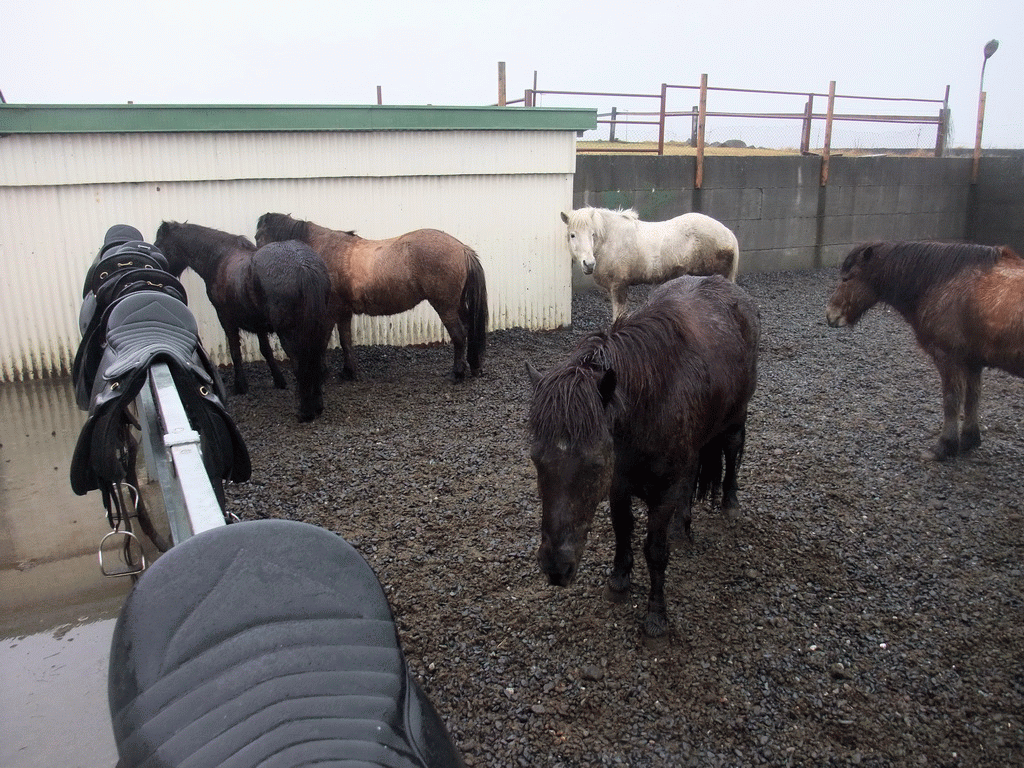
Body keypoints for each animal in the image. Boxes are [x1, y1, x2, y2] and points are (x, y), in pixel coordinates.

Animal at [155, 219, 331, 423]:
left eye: (158, 245)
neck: (220, 257)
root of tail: (303, 266)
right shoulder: (259, 323)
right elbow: (266, 351)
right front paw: (279, 380)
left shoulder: (226, 319)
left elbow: (235, 352)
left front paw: (240, 385)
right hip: (318, 330)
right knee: (316, 362)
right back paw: (317, 405)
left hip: (291, 334)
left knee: (301, 365)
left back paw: (305, 411)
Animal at [254, 211, 487, 382]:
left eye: (257, 236)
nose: (254, 270)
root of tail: (462, 249)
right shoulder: (343, 312)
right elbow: (345, 340)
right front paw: (349, 372)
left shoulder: (329, 313)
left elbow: (324, 341)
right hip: (456, 305)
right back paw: (473, 366)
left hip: (445, 306)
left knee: (459, 335)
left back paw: (458, 373)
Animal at [528, 276, 761, 638]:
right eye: (536, 459)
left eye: (594, 463)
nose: (556, 568)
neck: (651, 403)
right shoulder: (618, 485)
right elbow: (623, 529)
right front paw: (619, 582)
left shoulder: (661, 493)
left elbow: (655, 550)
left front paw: (656, 617)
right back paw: (682, 527)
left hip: (736, 415)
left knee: (733, 447)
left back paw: (730, 504)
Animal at [565, 205, 741, 319]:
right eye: (573, 235)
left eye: (592, 234)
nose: (588, 264)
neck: (612, 239)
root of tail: (728, 234)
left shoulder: (619, 286)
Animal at [823, 240, 1024, 460]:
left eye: (847, 278)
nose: (830, 315)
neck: (945, 282)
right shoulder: (972, 360)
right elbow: (973, 397)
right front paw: (969, 439)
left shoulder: (948, 357)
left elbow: (951, 400)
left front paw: (945, 446)